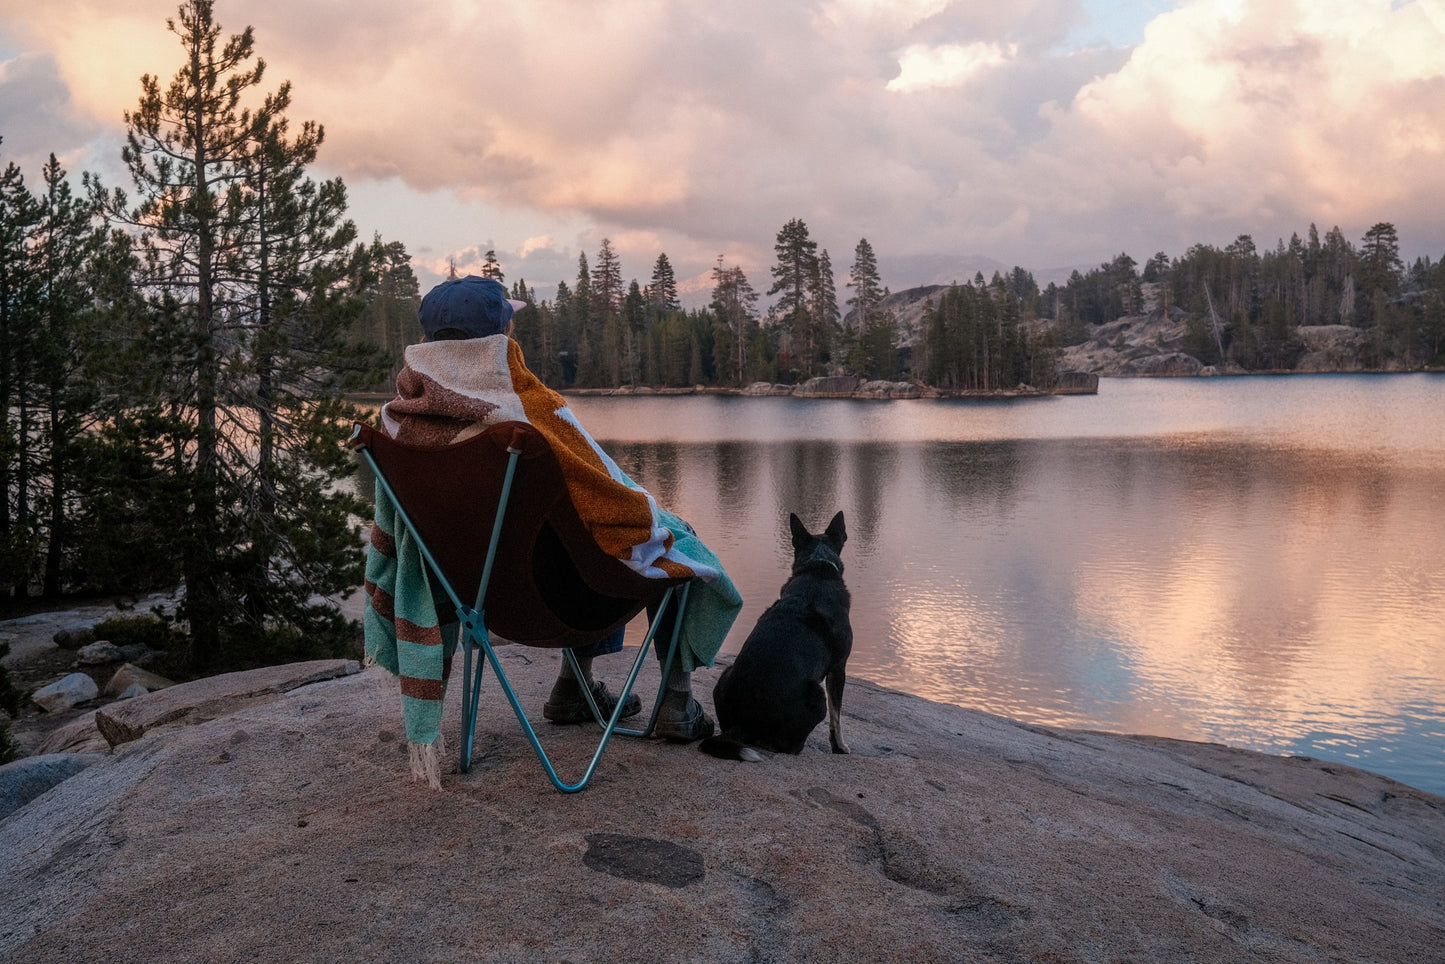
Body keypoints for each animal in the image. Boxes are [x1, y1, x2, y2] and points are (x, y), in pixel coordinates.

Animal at [696, 511, 843, 763]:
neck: (817, 569)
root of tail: (742, 724)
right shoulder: (839, 667)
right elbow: (837, 718)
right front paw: (841, 749)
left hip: (726, 673)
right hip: (816, 692)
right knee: (788, 746)